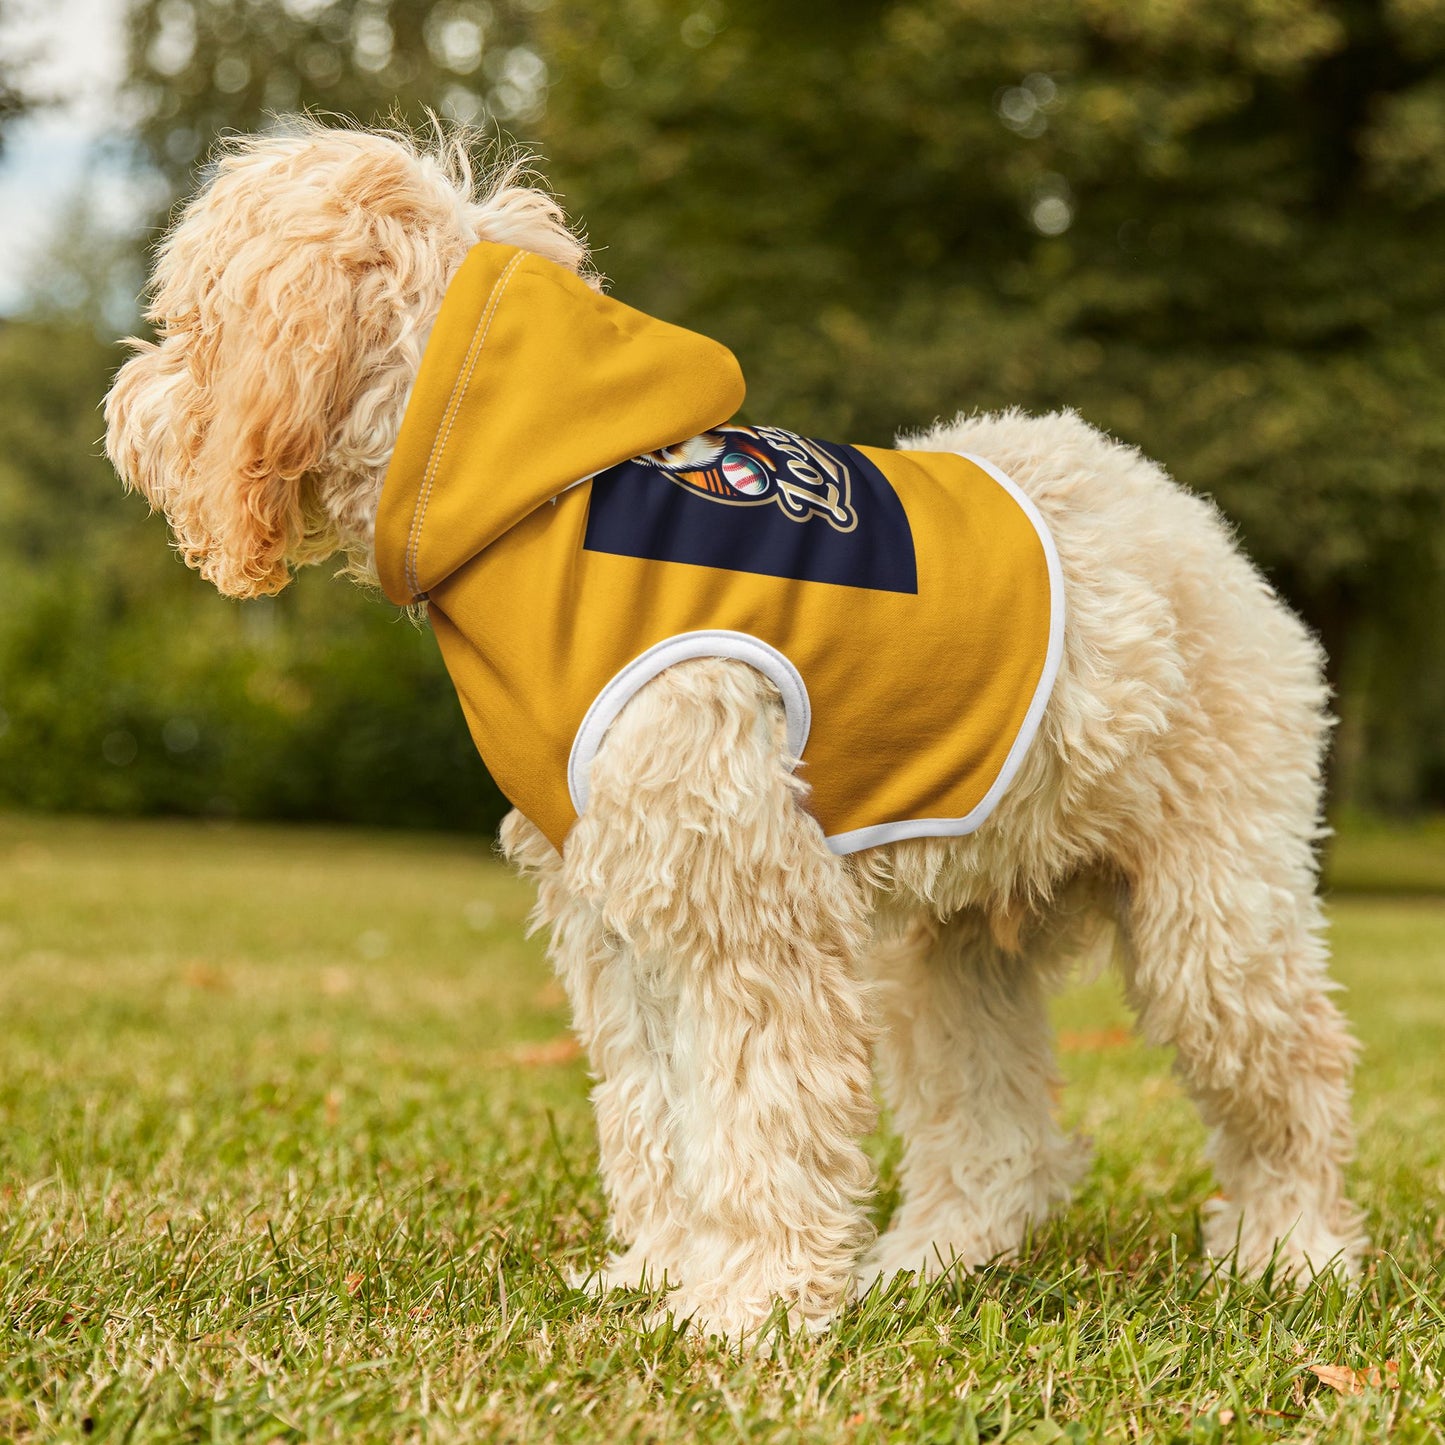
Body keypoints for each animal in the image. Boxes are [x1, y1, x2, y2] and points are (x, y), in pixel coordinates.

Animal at [104, 127, 1364, 1340]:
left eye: (191, 319)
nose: (123, 406)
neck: (534, 500)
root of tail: (1186, 517)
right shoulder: (617, 909)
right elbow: (656, 1112)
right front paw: (661, 1272)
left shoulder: (743, 903)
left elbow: (759, 1113)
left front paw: (747, 1304)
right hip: (949, 947)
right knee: (996, 1134)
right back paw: (929, 1260)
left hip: (1212, 913)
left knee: (1293, 1075)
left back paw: (1290, 1251)